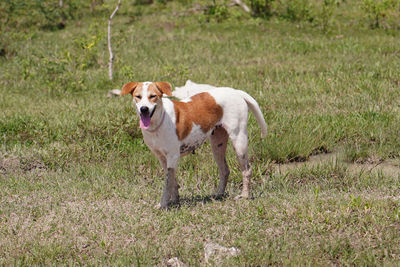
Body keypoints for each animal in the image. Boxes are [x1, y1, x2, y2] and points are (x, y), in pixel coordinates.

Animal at [120, 81, 268, 209]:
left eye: (153, 96)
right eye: (138, 96)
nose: (144, 109)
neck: (159, 120)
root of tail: (236, 91)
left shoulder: (172, 157)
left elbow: (167, 184)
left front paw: (163, 204)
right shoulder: (162, 158)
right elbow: (173, 182)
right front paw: (174, 201)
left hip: (239, 141)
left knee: (246, 170)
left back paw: (245, 195)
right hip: (217, 144)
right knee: (225, 170)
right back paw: (218, 194)